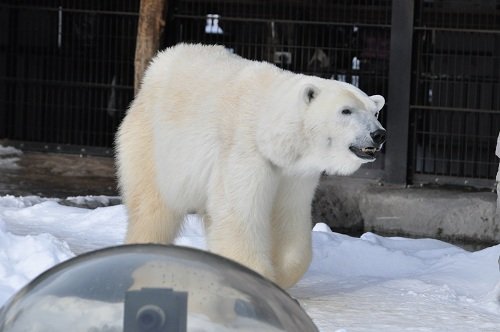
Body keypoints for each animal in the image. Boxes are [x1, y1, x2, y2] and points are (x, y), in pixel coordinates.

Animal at [114, 43, 386, 288]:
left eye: (374, 112)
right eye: (346, 111)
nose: (378, 134)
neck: (267, 128)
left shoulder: (293, 173)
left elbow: (290, 217)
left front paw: (281, 274)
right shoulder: (245, 151)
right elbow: (240, 216)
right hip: (154, 147)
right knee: (152, 208)